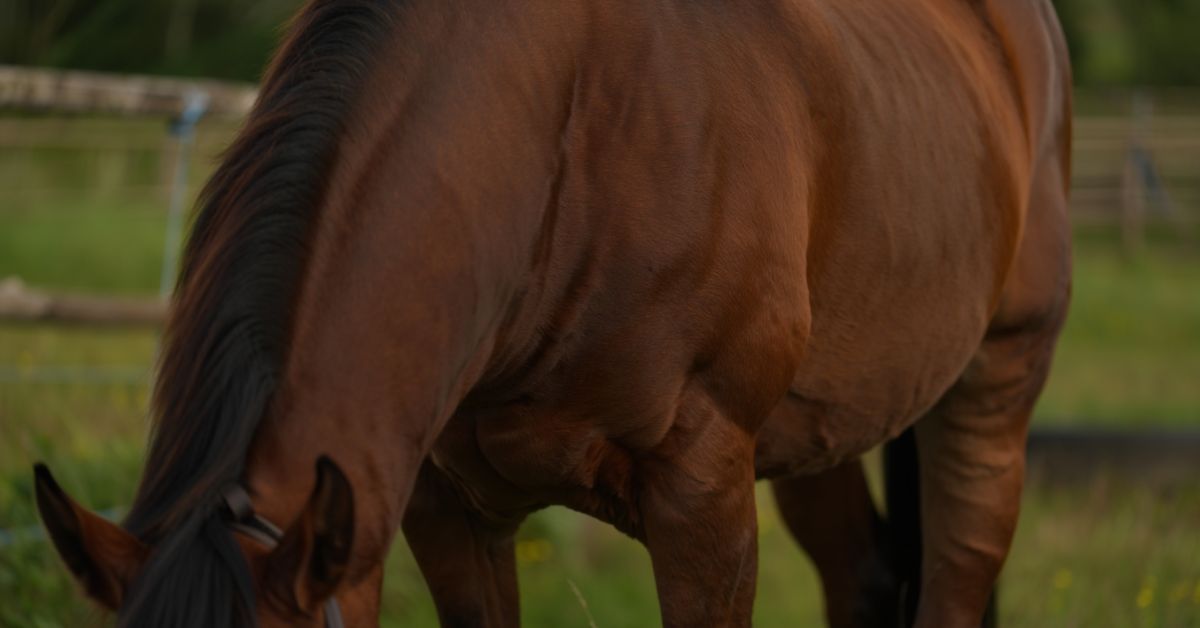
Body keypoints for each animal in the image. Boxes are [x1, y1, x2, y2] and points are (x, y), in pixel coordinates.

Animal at [34, 0, 1072, 626]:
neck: (567, 147)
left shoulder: (704, 497)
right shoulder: (448, 512)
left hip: (994, 384)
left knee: (956, 572)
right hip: (818, 429)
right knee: (863, 576)